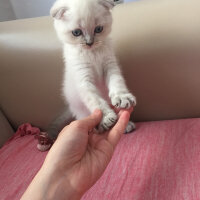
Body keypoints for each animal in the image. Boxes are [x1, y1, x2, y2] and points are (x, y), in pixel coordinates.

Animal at [49, 0, 136, 136]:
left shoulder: (110, 66)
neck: (92, 53)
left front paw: (122, 97)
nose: (89, 43)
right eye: (77, 32)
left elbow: (117, 82)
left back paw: (126, 125)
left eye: (98, 29)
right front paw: (105, 118)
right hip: (80, 111)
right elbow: (96, 101)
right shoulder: (83, 79)